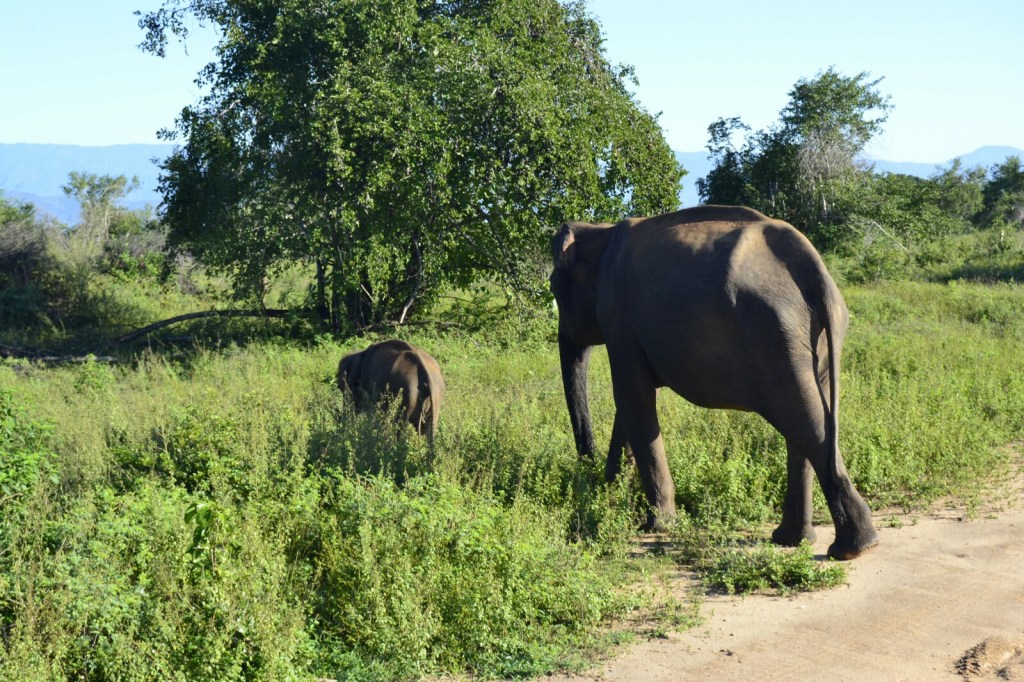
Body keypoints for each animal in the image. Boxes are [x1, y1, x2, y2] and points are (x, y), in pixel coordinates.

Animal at [549, 205, 878, 560]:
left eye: (553, 289)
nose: (589, 473)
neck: (601, 230)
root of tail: (813, 267)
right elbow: (629, 406)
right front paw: (612, 498)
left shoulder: (618, 317)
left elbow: (631, 398)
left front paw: (655, 526)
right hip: (807, 338)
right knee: (807, 420)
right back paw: (796, 540)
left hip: (773, 335)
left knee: (804, 421)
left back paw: (852, 548)